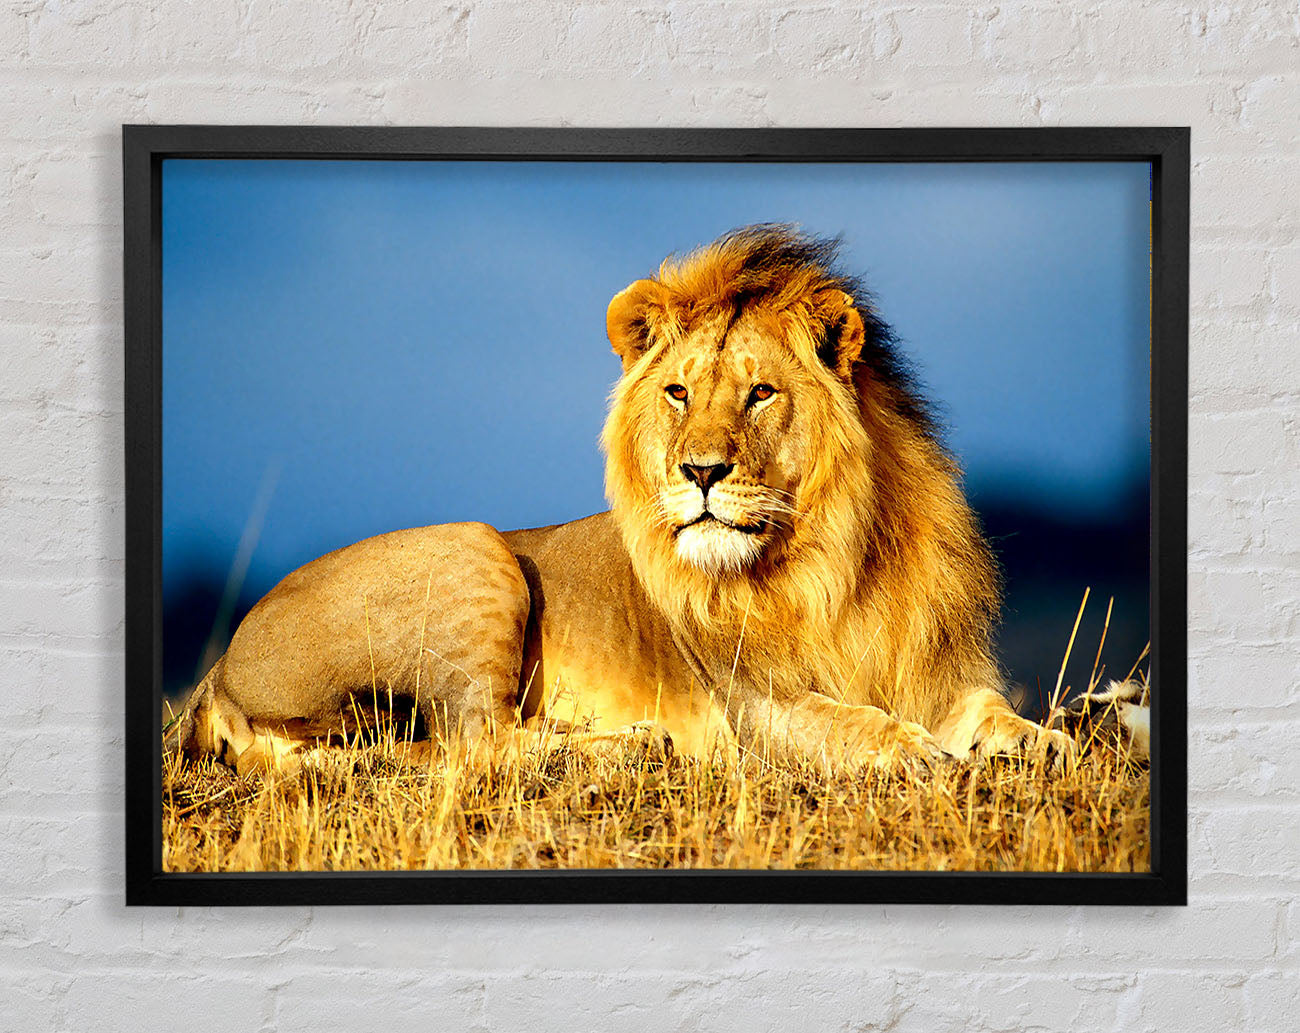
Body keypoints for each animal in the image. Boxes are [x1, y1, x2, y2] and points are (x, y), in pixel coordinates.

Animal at [164, 224, 1074, 777]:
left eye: (761, 393)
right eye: (678, 392)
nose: (700, 471)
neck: (835, 559)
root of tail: (217, 670)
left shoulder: (936, 669)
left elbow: (991, 708)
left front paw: (1046, 740)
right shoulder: (757, 708)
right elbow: (852, 723)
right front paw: (915, 752)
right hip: (474, 547)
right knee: (474, 744)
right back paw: (632, 744)